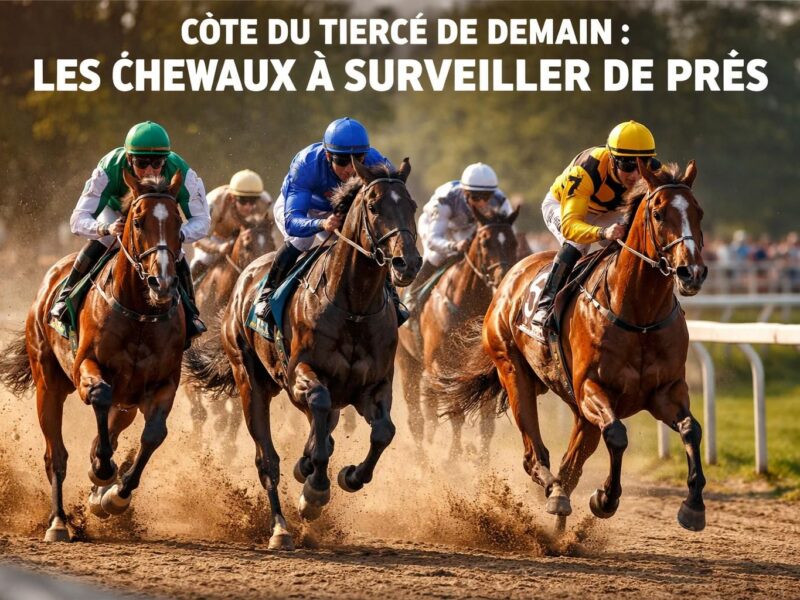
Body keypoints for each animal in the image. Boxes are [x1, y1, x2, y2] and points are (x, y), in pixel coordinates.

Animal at [0, 172, 187, 542]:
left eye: (179, 222)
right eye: (138, 222)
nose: (162, 283)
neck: (140, 314)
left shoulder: (162, 384)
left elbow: (153, 435)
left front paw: (116, 495)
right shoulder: (86, 367)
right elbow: (99, 396)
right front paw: (102, 470)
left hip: (127, 403)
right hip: (48, 383)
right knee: (55, 454)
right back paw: (58, 521)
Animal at [397, 207, 519, 461]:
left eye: (514, 242)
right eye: (484, 242)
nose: (504, 277)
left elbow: (486, 422)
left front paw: (481, 460)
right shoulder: (442, 365)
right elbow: (455, 412)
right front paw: (452, 460)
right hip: (406, 360)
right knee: (416, 416)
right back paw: (422, 458)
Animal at [437, 160, 708, 533]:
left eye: (698, 212)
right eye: (658, 213)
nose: (691, 272)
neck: (639, 314)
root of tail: (511, 275)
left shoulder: (665, 391)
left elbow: (691, 430)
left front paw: (693, 506)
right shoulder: (592, 388)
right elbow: (618, 435)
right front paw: (605, 498)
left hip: (579, 412)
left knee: (570, 466)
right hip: (514, 370)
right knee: (535, 455)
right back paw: (554, 493)